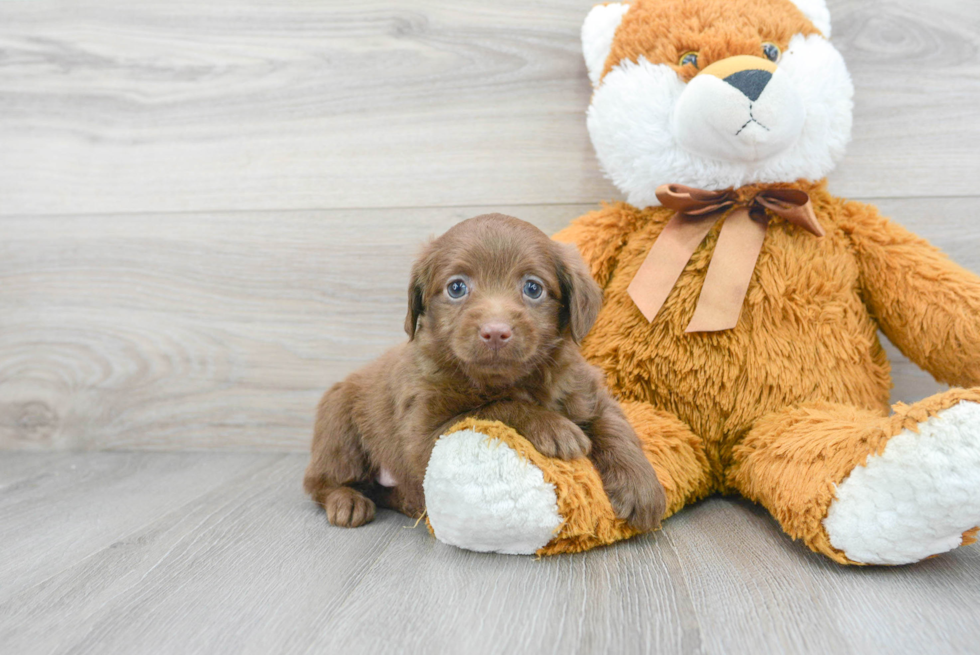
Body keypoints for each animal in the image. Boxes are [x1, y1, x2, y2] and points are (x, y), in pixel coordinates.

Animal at [302, 215, 664, 532]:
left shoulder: (585, 390)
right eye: (456, 288)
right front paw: (553, 427)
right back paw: (347, 501)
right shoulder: (425, 437)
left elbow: (615, 426)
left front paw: (641, 485)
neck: (513, 380)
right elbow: (494, 407)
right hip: (338, 427)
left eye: (533, 288)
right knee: (320, 481)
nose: (495, 332)